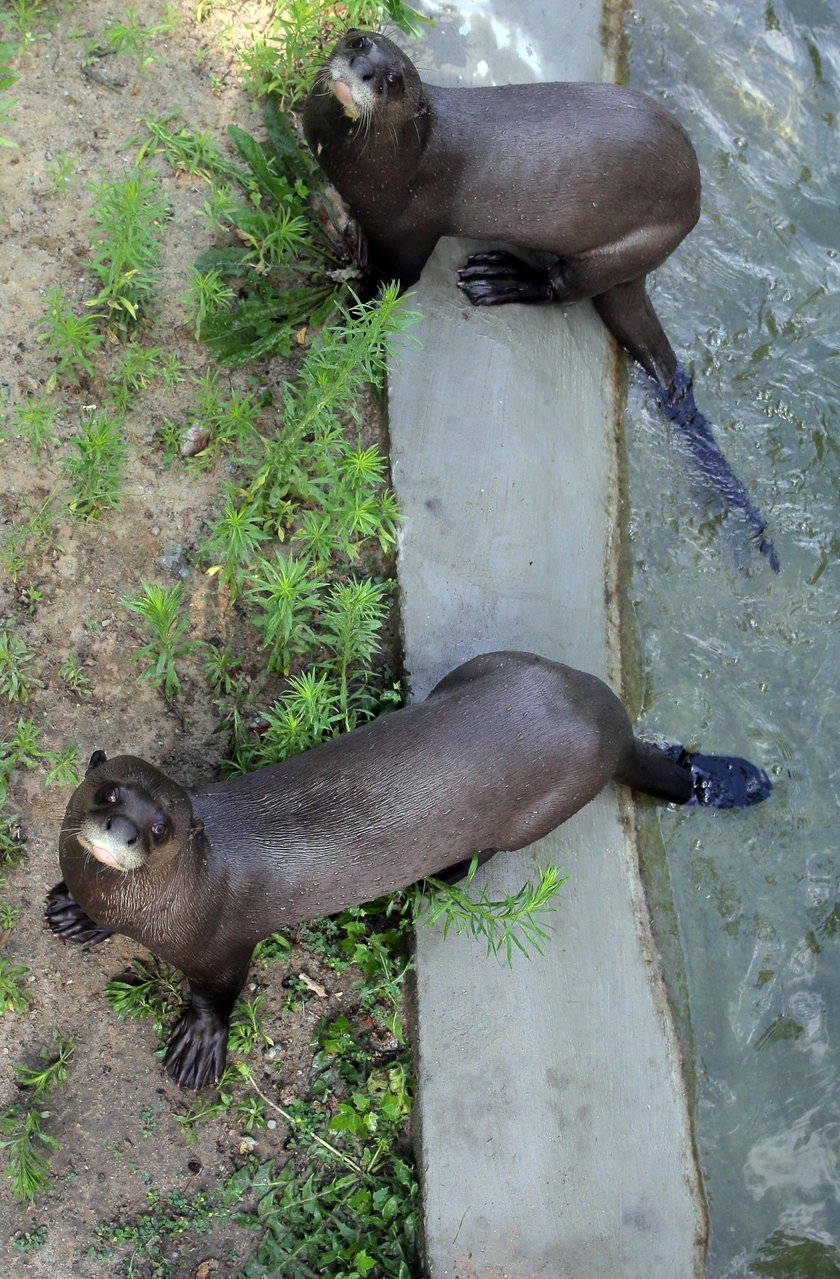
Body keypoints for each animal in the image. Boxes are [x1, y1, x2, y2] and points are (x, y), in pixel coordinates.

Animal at [44, 654, 767, 1094]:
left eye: (160, 828)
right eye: (109, 792)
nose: (123, 832)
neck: (164, 900)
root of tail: (612, 726)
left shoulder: (223, 943)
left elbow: (217, 992)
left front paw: (198, 1045)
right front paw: (74, 915)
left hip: (537, 811)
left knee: (486, 854)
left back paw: (436, 880)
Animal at [303, 30, 777, 572]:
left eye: (391, 80)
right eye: (359, 41)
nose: (361, 69)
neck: (394, 160)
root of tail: (690, 214)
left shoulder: (411, 225)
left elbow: (395, 282)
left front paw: (346, 305)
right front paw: (345, 241)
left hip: (621, 249)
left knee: (561, 288)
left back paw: (500, 278)